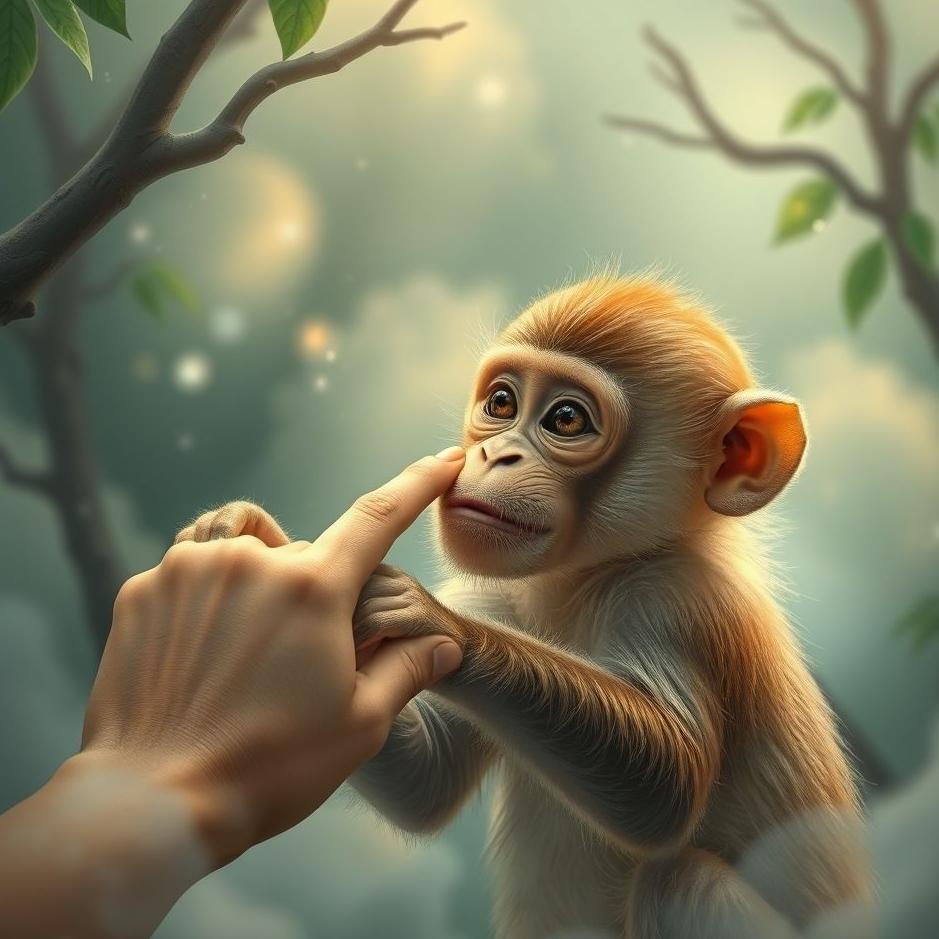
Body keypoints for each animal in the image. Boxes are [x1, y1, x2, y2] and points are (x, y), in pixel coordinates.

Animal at [181, 274, 871, 939]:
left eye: (565, 419)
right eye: (502, 404)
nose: (494, 453)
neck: (582, 580)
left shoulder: (679, 599)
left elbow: (668, 785)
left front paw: (426, 615)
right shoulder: (498, 593)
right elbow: (427, 781)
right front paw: (255, 537)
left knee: (679, 882)